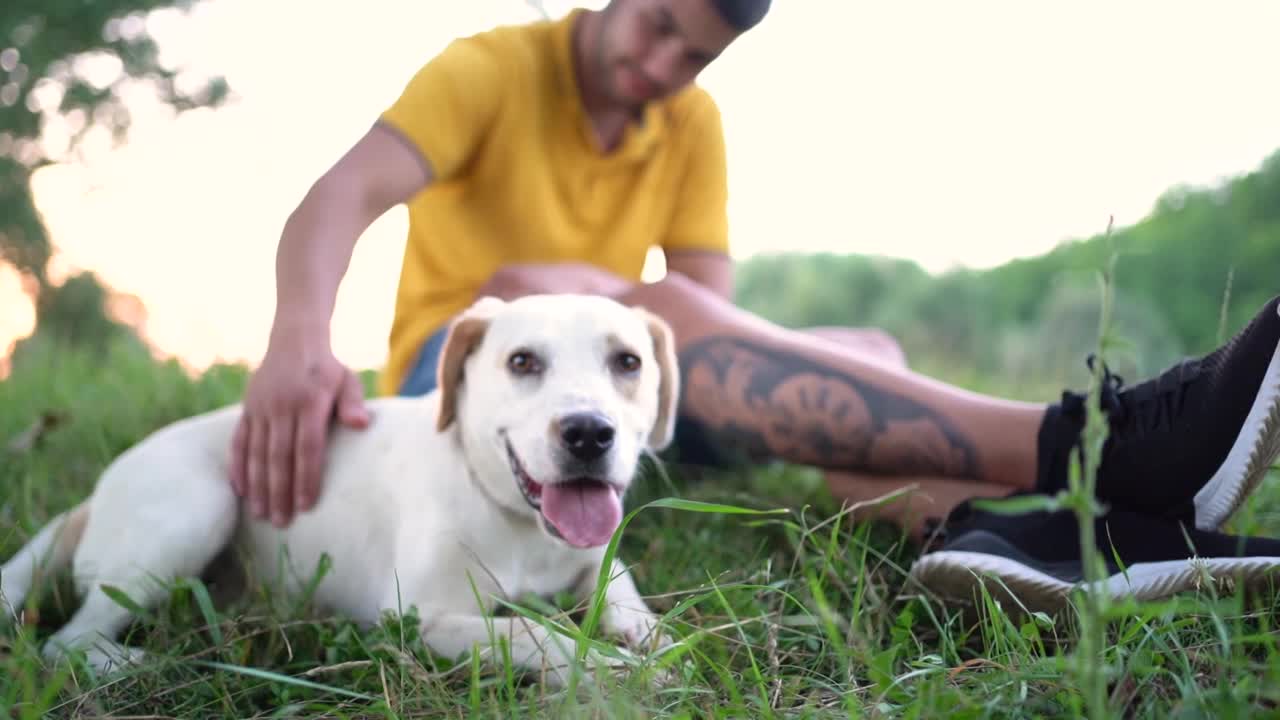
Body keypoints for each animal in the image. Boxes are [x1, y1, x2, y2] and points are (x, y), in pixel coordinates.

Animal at [2, 293, 680, 681]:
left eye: (628, 362)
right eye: (522, 362)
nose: (589, 433)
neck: (513, 519)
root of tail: (93, 496)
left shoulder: (595, 556)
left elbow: (622, 590)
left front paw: (648, 636)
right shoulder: (418, 617)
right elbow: (531, 632)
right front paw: (612, 670)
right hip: (198, 508)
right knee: (64, 643)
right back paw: (137, 663)